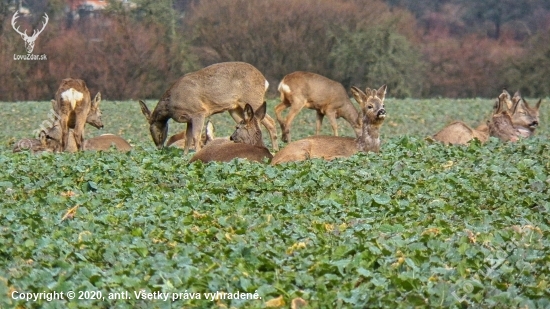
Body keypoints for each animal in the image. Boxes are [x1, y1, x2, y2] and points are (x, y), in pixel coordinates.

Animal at [138, 62, 280, 153]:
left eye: (153, 129)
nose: (159, 147)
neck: (171, 104)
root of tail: (264, 81)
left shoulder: (198, 112)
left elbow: (196, 136)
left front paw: (197, 154)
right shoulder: (189, 118)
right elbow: (187, 138)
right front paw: (184, 157)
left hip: (253, 98)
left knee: (270, 121)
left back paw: (275, 149)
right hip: (235, 108)